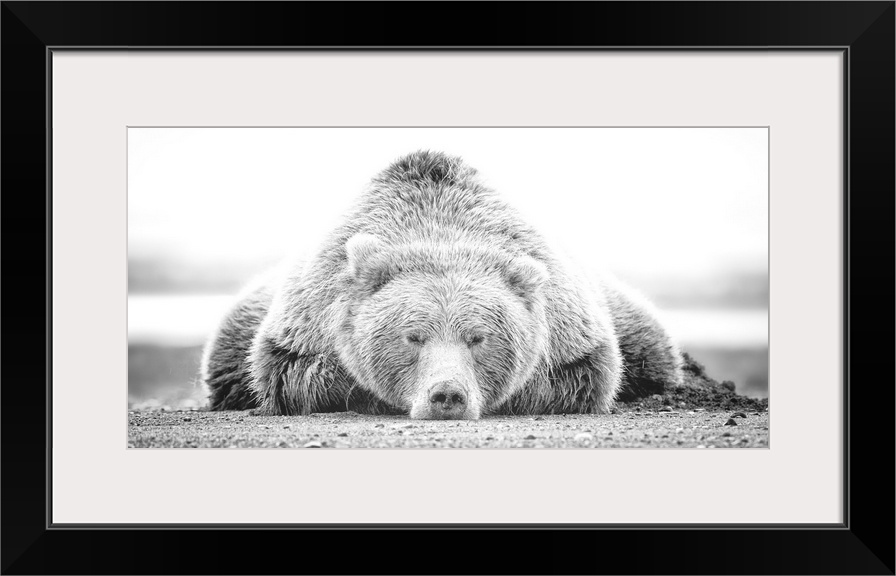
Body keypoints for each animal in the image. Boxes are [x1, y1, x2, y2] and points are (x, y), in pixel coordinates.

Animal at [200, 148, 684, 418]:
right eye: (412, 336)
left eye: (478, 337)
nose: (446, 395)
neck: (439, 227)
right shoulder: (306, 320)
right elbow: (294, 373)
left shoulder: (572, 332)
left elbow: (582, 375)